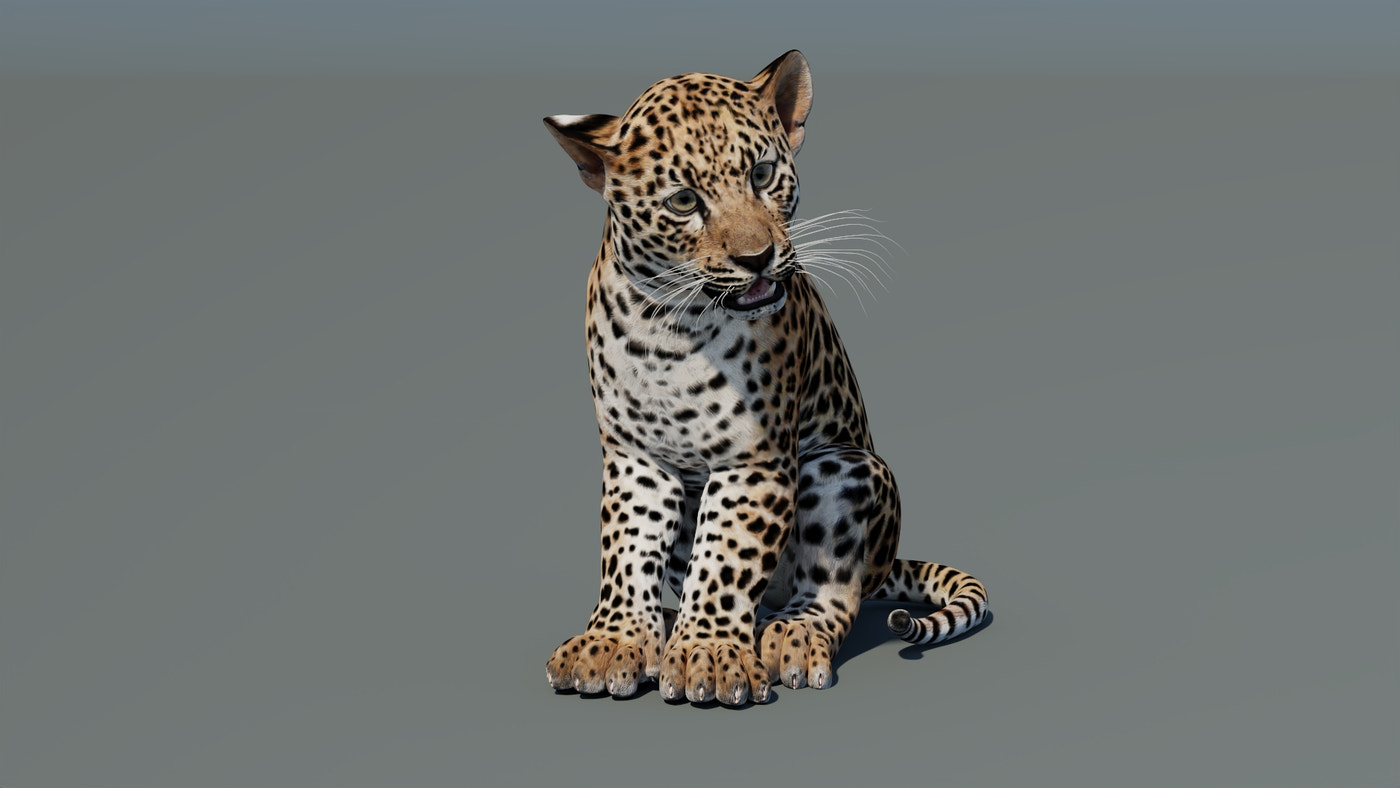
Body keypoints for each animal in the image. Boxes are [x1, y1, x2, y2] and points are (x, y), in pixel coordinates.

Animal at [542, 50, 989, 706]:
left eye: (762, 173)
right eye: (682, 201)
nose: (757, 259)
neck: (669, 329)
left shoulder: (752, 459)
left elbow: (726, 558)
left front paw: (706, 656)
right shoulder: (635, 457)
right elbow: (627, 549)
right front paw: (615, 641)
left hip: (846, 469)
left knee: (831, 591)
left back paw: (790, 637)